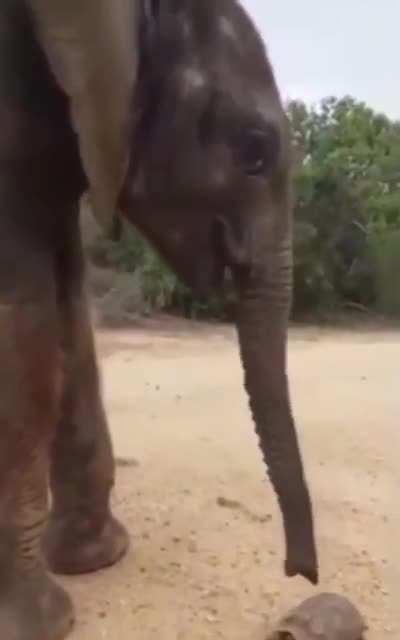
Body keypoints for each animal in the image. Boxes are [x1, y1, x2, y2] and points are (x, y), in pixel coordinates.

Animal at [0, 0, 318, 638]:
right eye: (254, 151)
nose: (301, 575)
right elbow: (24, 331)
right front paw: (43, 623)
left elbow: (68, 312)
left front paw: (95, 560)